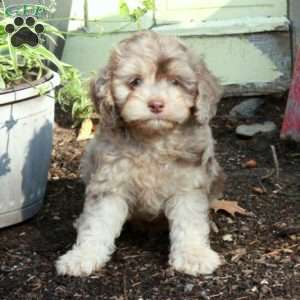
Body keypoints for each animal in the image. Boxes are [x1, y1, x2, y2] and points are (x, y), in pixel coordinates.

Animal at [55, 30, 223, 276]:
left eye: (175, 82)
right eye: (135, 82)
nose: (156, 104)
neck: (152, 139)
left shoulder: (188, 185)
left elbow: (190, 221)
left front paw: (194, 255)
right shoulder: (109, 184)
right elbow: (97, 223)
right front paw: (82, 256)